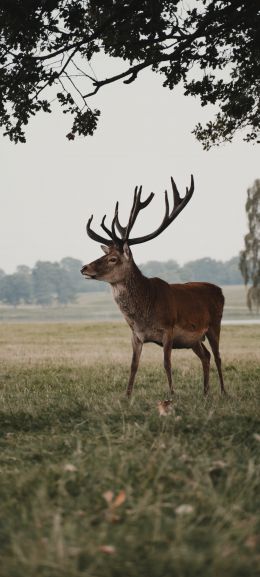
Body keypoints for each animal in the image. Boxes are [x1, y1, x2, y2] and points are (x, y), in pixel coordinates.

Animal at [81, 176, 225, 398]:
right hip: (194, 340)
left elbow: (167, 363)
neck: (144, 313)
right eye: (105, 254)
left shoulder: (168, 329)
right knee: (206, 356)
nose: (84, 267)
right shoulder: (136, 335)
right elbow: (133, 365)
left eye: (113, 259)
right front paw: (127, 396)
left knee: (218, 356)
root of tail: (220, 290)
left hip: (214, 324)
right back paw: (205, 393)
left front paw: (172, 395)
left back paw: (224, 392)